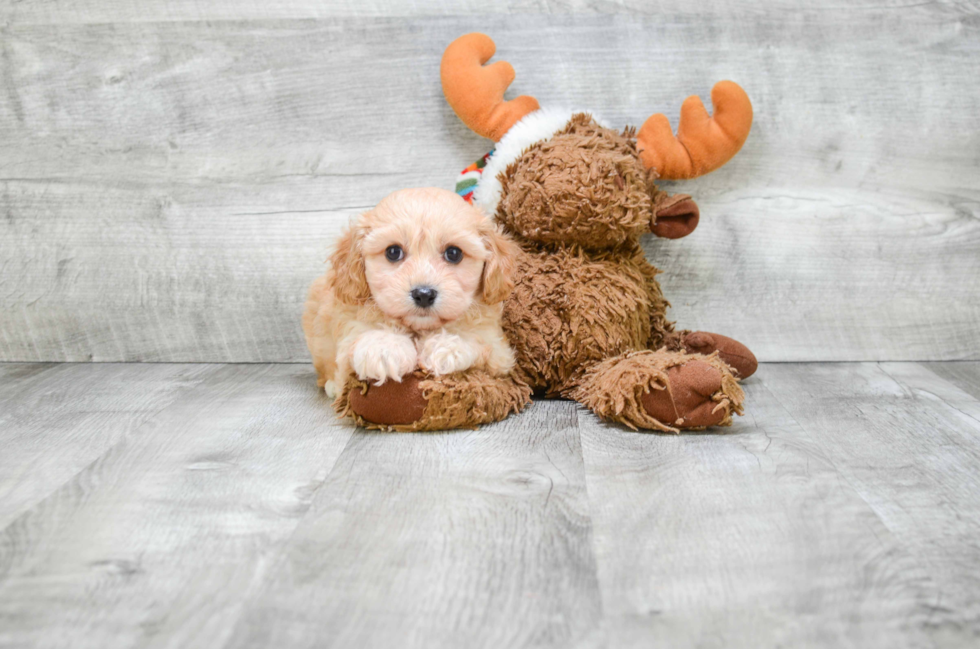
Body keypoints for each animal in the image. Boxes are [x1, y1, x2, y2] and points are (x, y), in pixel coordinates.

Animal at [302, 186, 520, 400]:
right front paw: (384, 347)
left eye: (454, 253)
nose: (423, 294)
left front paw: (446, 347)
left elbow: (478, 338)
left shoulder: (500, 354)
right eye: (393, 252)